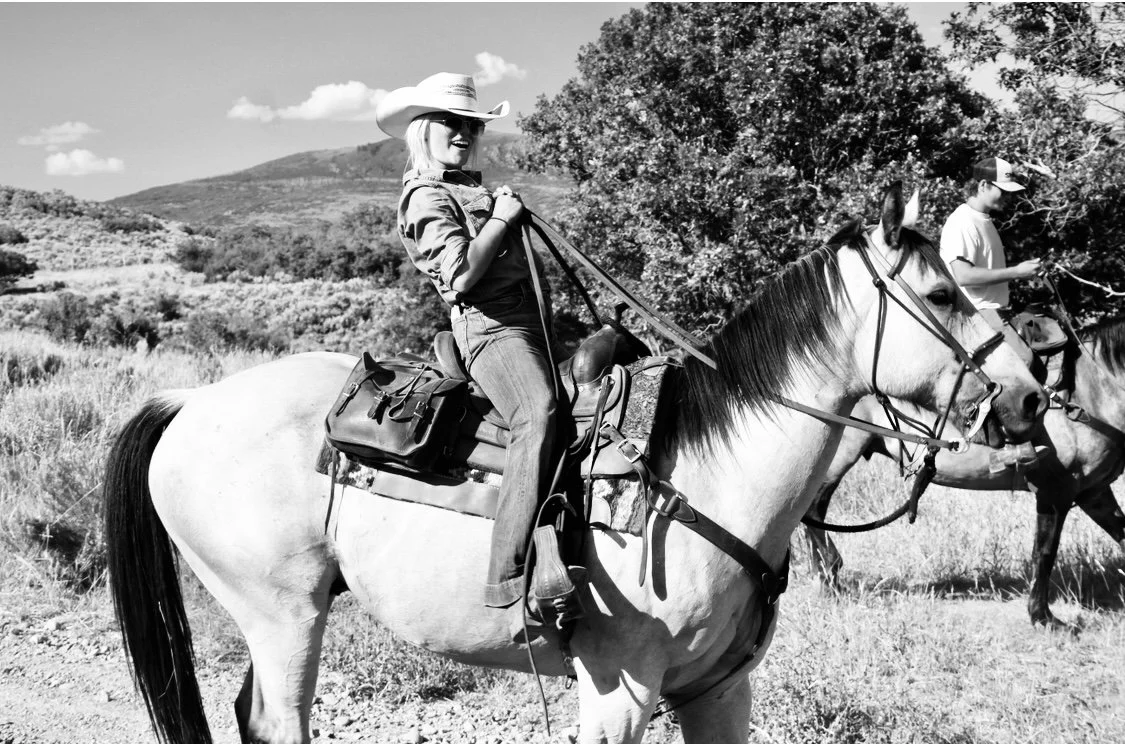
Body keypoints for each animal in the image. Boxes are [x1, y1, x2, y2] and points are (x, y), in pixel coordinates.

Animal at [103, 185, 1046, 744]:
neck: (701, 479)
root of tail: (192, 400)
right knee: (275, 722)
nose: (1031, 395)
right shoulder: (617, 691)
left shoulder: (719, 690)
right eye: (940, 294)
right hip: (282, 614)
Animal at [803, 317, 1125, 627]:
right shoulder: (1053, 492)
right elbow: (1044, 553)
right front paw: (1042, 616)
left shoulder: (1093, 492)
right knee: (813, 510)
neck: (1092, 391)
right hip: (836, 459)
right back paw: (831, 577)